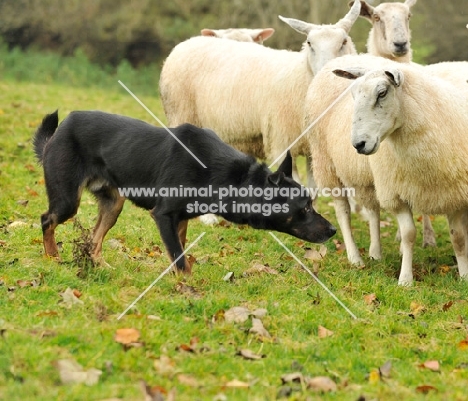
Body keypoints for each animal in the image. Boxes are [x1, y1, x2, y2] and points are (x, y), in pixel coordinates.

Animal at [34, 109, 334, 272]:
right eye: (306, 207)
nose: (332, 230)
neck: (232, 179)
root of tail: (58, 133)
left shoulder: (180, 221)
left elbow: (178, 254)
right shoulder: (164, 216)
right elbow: (180, 261)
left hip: (113, 204)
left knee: (95, 240)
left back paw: (98, 264)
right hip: (68, 200)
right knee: (47, 219)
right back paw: (52, 256)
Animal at [158, 0, 362, 183]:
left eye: (344, 41)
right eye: (309, 43)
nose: (325, 70)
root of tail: (186, 43)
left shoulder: (313, 150)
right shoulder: (281, 143)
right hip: (181, 114)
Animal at [332, 53, 468, 284]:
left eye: (382, 93)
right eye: (352, 94)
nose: (358, 144)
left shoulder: (455, 194)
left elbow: (458, 238)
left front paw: (465, 275)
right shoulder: (397, 193)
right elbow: (408, 235)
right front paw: (405, 279)